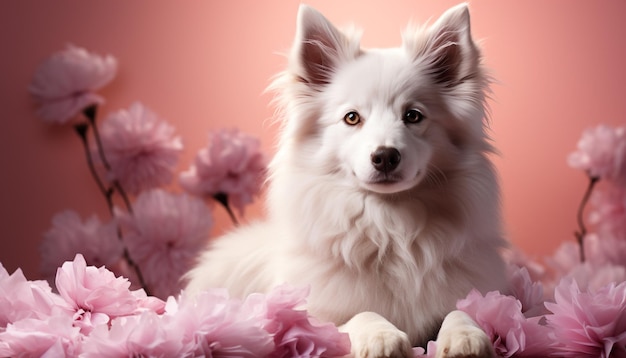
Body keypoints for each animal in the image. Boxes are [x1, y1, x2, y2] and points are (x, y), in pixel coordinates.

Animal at [185, 3, 508, 358]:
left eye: (413, 116)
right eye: (352, 118)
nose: (385, 156)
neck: (390, 226)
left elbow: (460, 311)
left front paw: (465, 336)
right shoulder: (313, 319)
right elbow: (359, 314)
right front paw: (381, 336)